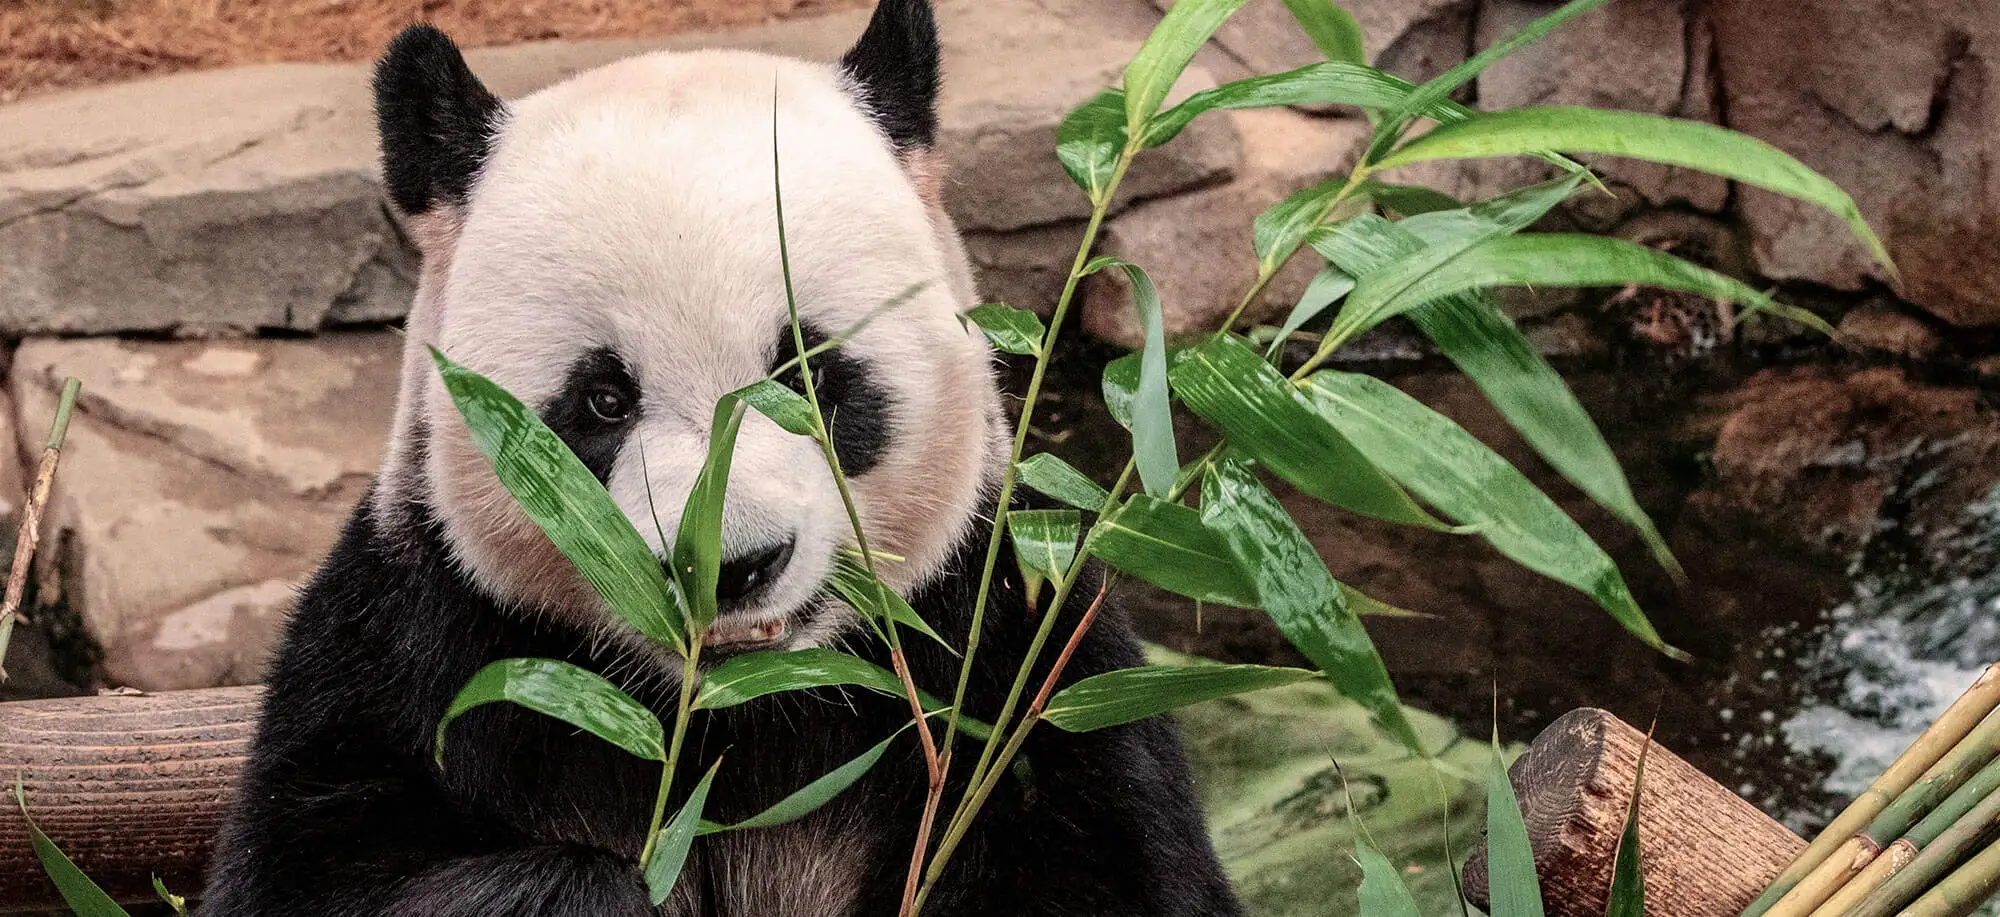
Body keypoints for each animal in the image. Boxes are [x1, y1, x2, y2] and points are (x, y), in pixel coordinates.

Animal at [199, 2, 1243, 915]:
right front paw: (597, 892)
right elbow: (312, 868)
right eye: (602, 399)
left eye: (809, 373)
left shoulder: (1017, 650)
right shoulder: (420, 646)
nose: (729, 567)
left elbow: (1109, 858)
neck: (739, 710)